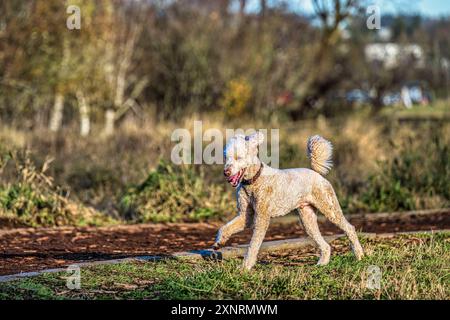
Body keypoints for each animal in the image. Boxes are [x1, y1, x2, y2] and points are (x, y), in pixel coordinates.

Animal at [213, 132, 364, 270]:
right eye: (226, 157)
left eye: (239, 157)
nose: (226, 172)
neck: (254, 180)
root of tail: (317, 174)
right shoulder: (246, 216)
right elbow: (224, 228)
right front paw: (219, 242)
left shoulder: (262, 217)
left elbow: (253, 245)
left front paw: (245, 267)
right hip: (307, 219)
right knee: (325, 245)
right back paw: (322, 263)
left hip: (329, 208)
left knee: (350, 228)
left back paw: (360, 256)